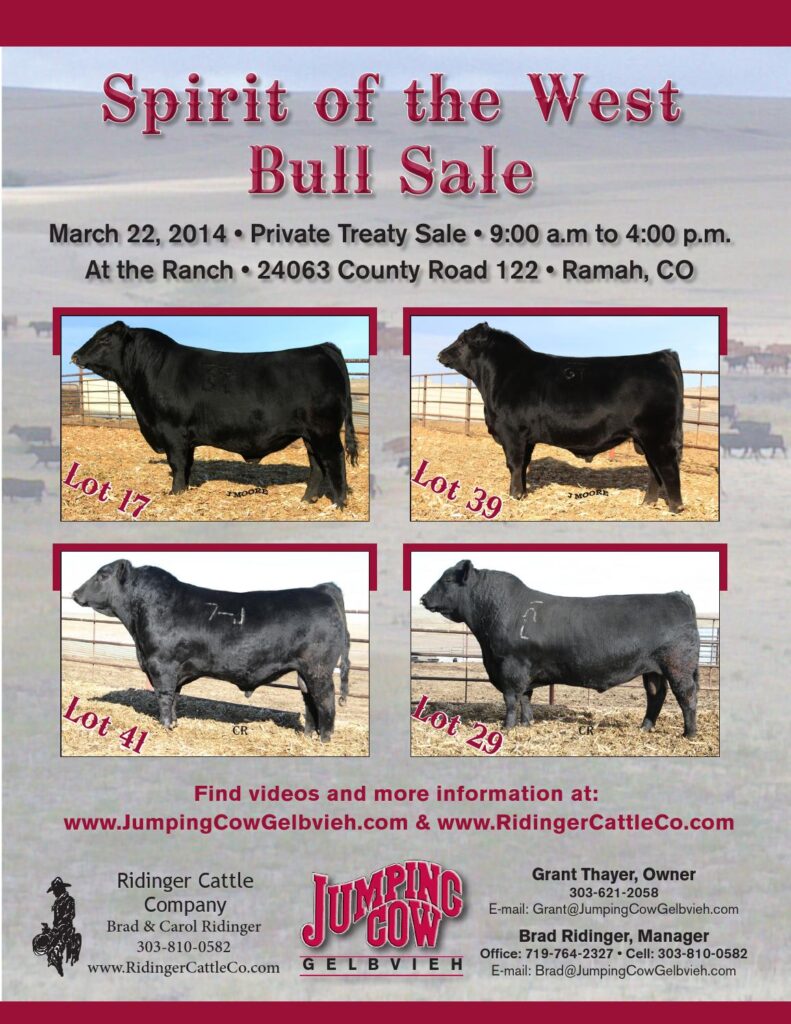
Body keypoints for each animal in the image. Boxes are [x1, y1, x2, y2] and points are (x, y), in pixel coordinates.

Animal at [71, 321, 358, 507]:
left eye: (105, 338)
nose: (74, 355)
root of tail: (321, 347)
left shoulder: (172, 432)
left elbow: (177, 464)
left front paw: (175, 493)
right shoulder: (184, 437)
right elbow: (187, 465)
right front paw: (184, 490)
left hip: (324, 431)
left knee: (334, 459)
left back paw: (338, 503)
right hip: (309, 434)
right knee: (317, 465)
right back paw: (307, 500)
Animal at [71, 560, 350, 742]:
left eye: (102, 575)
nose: (74, 593)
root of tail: (321, 589)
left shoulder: (161, 664)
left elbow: (164, 696)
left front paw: (165, 725)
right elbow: (175, 697)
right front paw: (174, 722)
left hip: (318, 669)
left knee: (326, 700)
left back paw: (324, 739)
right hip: (305, 671)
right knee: (310, 700)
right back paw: (309, 736)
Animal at [420, 560, 700, 738]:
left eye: (447, 579)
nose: (423, 598)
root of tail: (676, 595)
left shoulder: (510, 667)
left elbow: (511, 699)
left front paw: (506, 727)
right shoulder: (525, 671)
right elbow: (525, 698)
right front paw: (527, 723)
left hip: (678, 667)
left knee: (686, 696)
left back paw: (689, 733)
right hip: (653, 669)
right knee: (656, 695)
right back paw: (645, 727)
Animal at [437, 323, 685, 512]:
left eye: (462, 341)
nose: (440, 354)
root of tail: (662, 355)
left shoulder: (512, 433)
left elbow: (514, 464)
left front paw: (514, 495)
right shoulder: (527, 438)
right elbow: (524, 464)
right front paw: (523, 493)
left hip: (657, 435)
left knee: (667, 467)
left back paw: (675, 508)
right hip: (645, 438)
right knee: (654, 469)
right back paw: (647, 503)